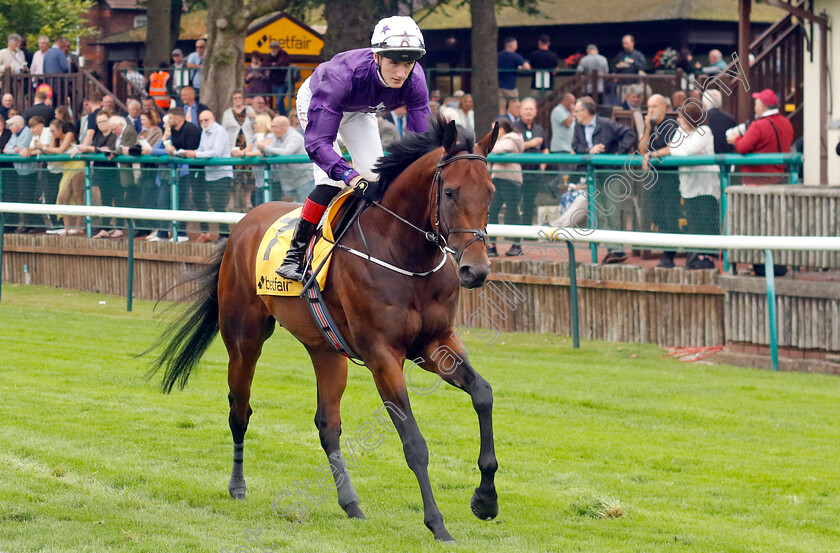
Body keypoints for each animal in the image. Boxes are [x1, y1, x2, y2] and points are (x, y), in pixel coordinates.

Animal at [151, 118, 498, 540]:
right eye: (449, 192)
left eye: (490, 192)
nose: (475, 270)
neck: (402, 253)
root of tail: (242, 223)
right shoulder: (383, 355)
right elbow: (414, 442)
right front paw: (437, 524)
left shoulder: (435, 342)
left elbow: (483, 394)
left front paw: (485, 499)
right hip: (244, 339)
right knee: (240, 409)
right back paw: (237, 486)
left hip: (327, 350)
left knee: (327, 424)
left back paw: (351, 504)